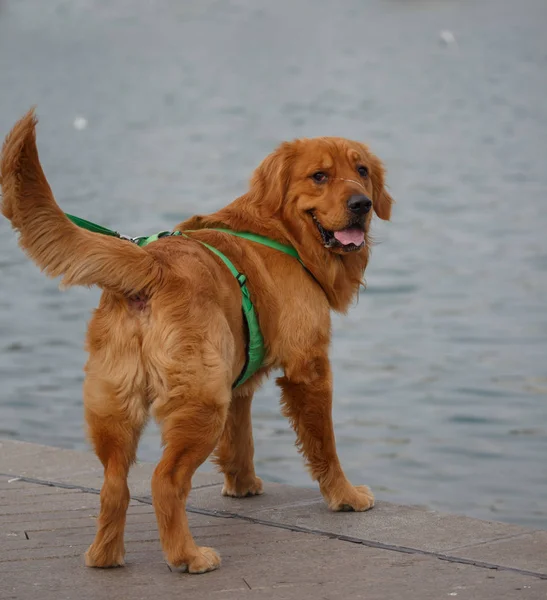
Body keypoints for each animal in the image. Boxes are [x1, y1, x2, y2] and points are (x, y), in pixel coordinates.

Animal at [0, 110, 394, 576]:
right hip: (202, 403)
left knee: (114, 485)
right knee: (164, 480)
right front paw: (344, 496)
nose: (362, 204)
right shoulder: (309, 367)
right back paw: (187, 556)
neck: (282, 232)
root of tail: (152, 265)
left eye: (362, 171)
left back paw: (105, 557)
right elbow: (324, 445)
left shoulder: (238, 381)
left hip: (118, 403)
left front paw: (243, 485)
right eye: (320, 176)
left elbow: (241, 440)